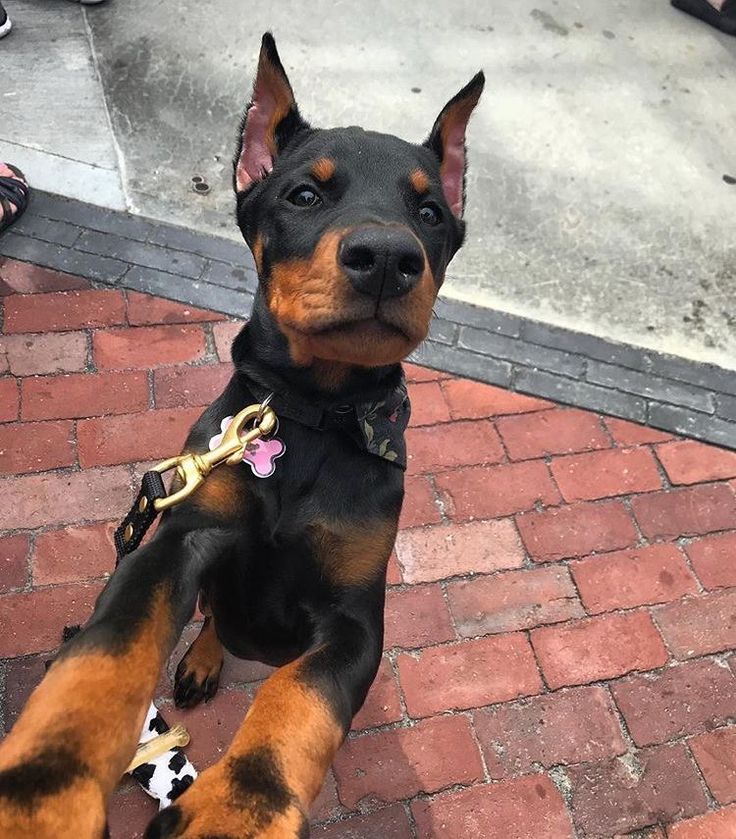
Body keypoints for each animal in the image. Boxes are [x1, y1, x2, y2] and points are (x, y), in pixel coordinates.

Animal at [0, 32, 484, 839]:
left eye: (431, 211)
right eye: (304, 195)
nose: (388, 258)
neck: (312, 415)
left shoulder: (355, 617)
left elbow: (299, 700)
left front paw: (236, 810)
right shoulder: (176, 538)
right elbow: (105, 651)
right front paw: (44, 785)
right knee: (211, 617)